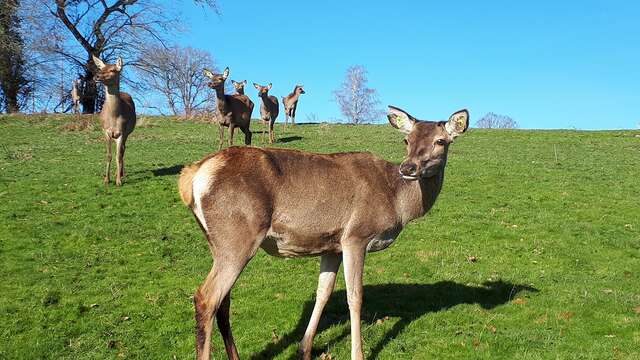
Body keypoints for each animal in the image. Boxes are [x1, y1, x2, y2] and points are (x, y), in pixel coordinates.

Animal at [91, 56, 136, 187]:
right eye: (101, 68)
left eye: (112, 70)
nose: (96, 76)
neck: (114, 118)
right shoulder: (105, 131)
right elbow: (109, 155)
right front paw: (106, 179)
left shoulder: (122, 132)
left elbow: (118, 155)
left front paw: (118, 181)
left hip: (127, 133)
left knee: (123, 150)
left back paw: (121, 173)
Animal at [179, 105, 470, 358]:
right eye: (406, 140)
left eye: (441, 141)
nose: (408, 168)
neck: (397, 204)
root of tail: (192, 175)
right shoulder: (356, 236)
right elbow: (355, 297)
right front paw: (358, 355)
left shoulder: (332, 245)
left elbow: (323, 293)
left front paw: (304, 349)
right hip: (238, 235)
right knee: (206, 298)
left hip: (217, 242)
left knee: (223, 302)